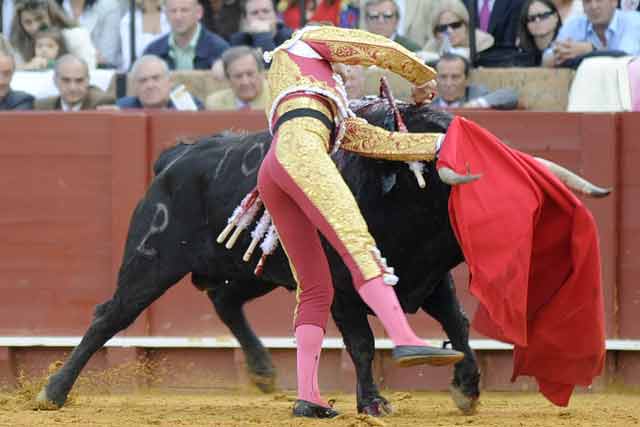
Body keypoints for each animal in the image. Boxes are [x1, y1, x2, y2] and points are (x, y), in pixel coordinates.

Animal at [36, 100, 480, 414]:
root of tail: (176, 157)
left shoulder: (429, 276)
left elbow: (457, 323)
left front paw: (467, 388)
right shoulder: (342, 289)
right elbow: (362, 343)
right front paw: (373, 403)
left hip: (255, 270)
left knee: (224, 300)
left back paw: (264, 371)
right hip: (150, 264)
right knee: (110, 316)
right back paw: (53, 392)